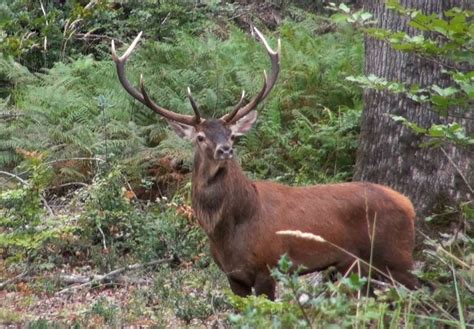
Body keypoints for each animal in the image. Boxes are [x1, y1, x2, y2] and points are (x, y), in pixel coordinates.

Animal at [111, 28, 418, 300]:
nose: (225, 149)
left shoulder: (268, 267)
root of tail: (408, 204)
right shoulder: (233, 276)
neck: (229, 231)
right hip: (357, 266)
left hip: (397, 257)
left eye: (231, 134)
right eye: (200, 137)